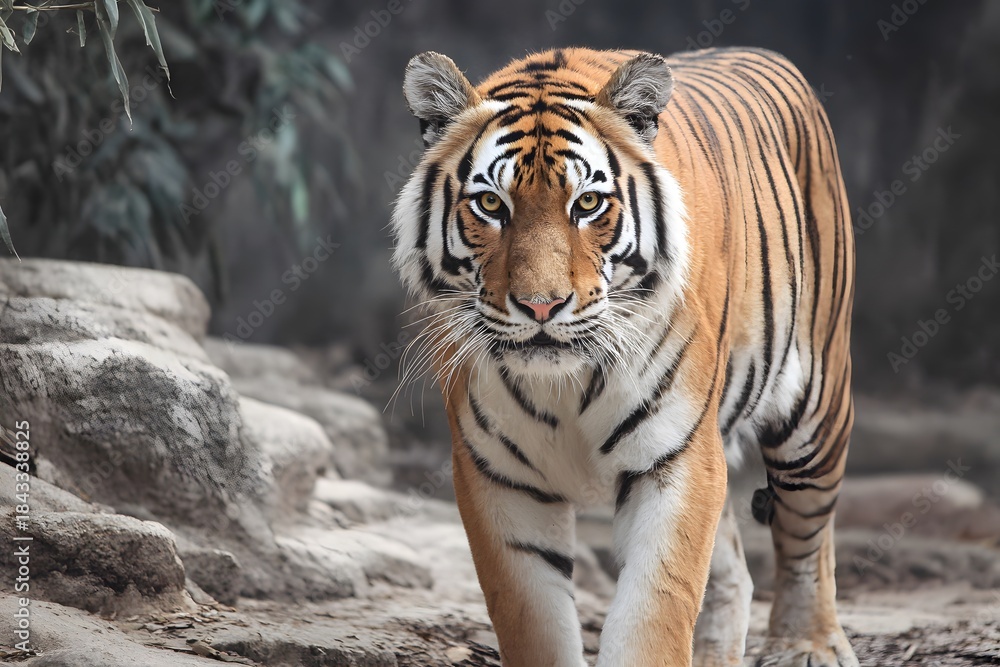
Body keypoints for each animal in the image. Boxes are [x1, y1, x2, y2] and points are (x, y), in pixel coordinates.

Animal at [391, 46, 856, 667]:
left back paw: (808, 645)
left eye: (587, 203)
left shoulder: (675, 457)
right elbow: (533, 620)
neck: (565, 386)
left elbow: (654, 614)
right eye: (491, 203)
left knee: (808, 537)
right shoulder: (500, 477)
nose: (541, 306)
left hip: (815, 409)